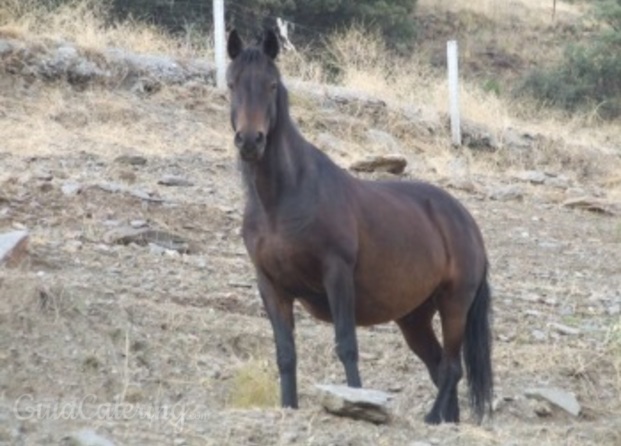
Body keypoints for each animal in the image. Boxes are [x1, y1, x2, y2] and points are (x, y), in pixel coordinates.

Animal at [225, 29, 492, 424]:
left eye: (271, 85)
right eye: (231, 84)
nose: (249, 141)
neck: (282, 200)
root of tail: (465, 221)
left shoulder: (337, 274)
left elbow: (346, 345)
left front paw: (357, 402)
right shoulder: (271, 285)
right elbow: (286, 353)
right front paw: (289, 406)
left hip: (455, 304)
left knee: (451, 368)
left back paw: (431, 419)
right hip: (414, 319)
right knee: (439, 365)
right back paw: (447, 422)